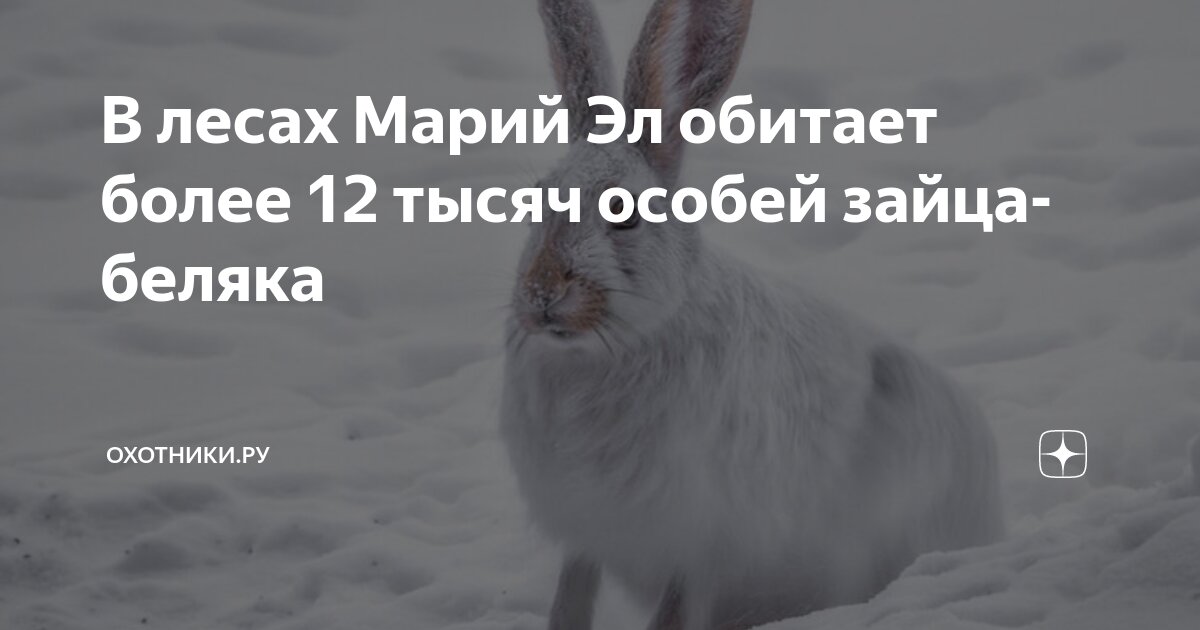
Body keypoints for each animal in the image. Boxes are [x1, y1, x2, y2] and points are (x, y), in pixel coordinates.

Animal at [500, 1, 1005, 628]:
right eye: (534, 202)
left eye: (623, 213)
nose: (542, 290)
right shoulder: (585, 532)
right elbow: (569, 601)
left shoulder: (699, 541)